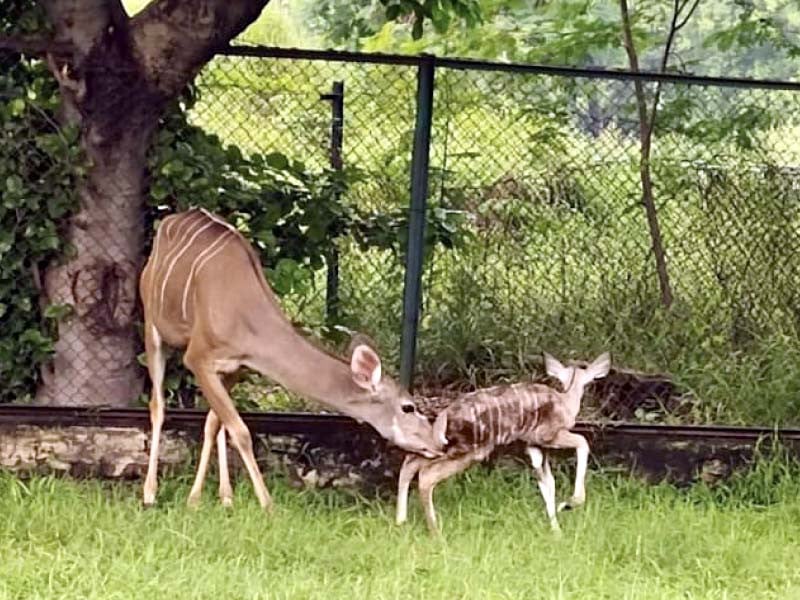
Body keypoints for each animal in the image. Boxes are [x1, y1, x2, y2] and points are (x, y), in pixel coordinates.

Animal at [141, 209, 446, 508]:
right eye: (408, 407)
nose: (439, 445)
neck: (246, 316)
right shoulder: (198, 357)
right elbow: (241, 431)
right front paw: (268, 505)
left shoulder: (236, 366)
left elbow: (218, 423)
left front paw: (203, 499)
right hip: (152, 326)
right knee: (157, 405)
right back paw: (149, 494)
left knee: (210, 421)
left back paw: (224, 497)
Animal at [396, 352, 612, 536]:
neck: (566, 402)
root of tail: (443, 416)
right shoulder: (547, 435)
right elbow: (582, 442)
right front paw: (571, 503)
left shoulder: (533, 445)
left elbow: (548, 484)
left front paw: (556, 530)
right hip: (471, 448)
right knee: (427, 474)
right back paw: (436, 533)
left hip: (445, 444)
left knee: (410, 461)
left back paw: (401, 521)